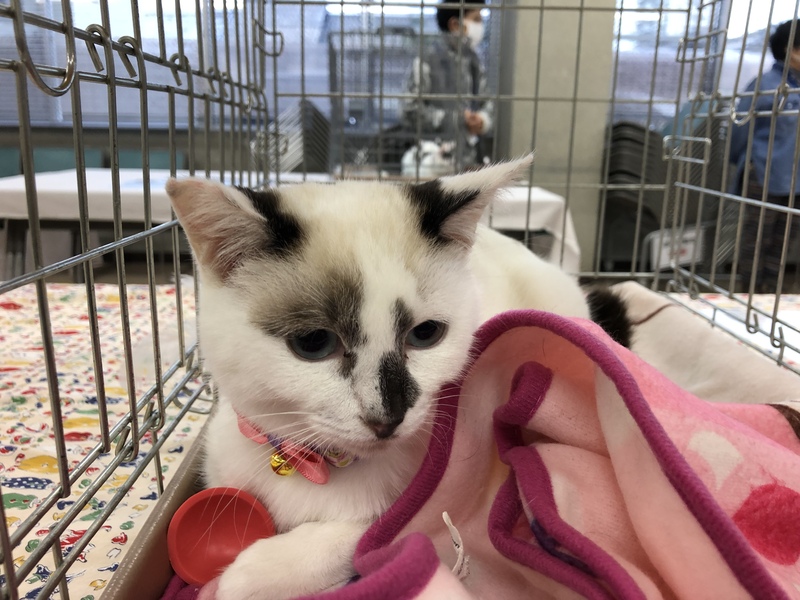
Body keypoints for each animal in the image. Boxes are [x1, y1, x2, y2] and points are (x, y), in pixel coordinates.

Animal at [165, 155, 592, 599]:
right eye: (313, 342)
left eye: (425, 334)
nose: (387, 418)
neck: (312, 465)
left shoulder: (416, 507)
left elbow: (366, 537)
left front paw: (249, 573)